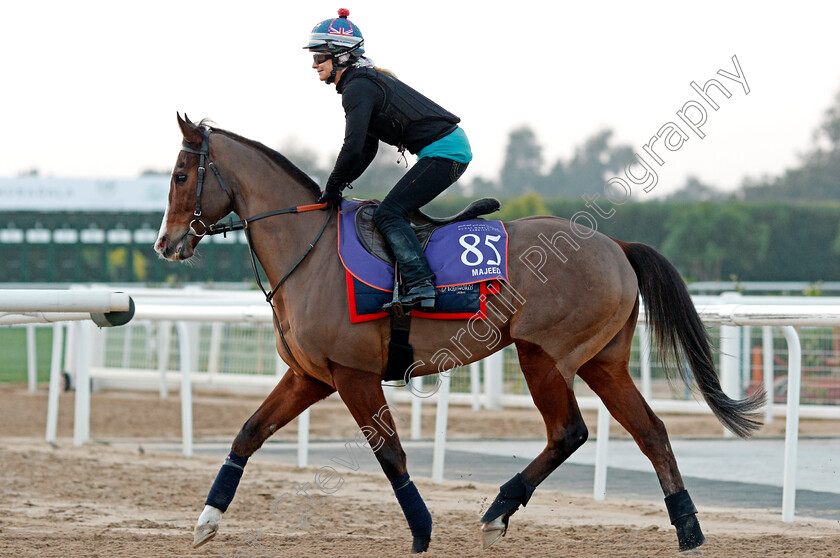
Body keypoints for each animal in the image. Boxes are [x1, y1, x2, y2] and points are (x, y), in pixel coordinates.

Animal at [154, 112, 764, 556]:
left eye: (181, 176)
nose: (166, 243)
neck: (311, 250)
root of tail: (617, 246)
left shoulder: (353, 375)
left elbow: (391, 455)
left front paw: (422, 530)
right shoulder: (311, 375)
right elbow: (248, 434)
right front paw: (206, 521)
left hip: (543, 355)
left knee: (568, 432)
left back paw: (498, 510)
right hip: (603, 361)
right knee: (651, 431)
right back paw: (688, 529)